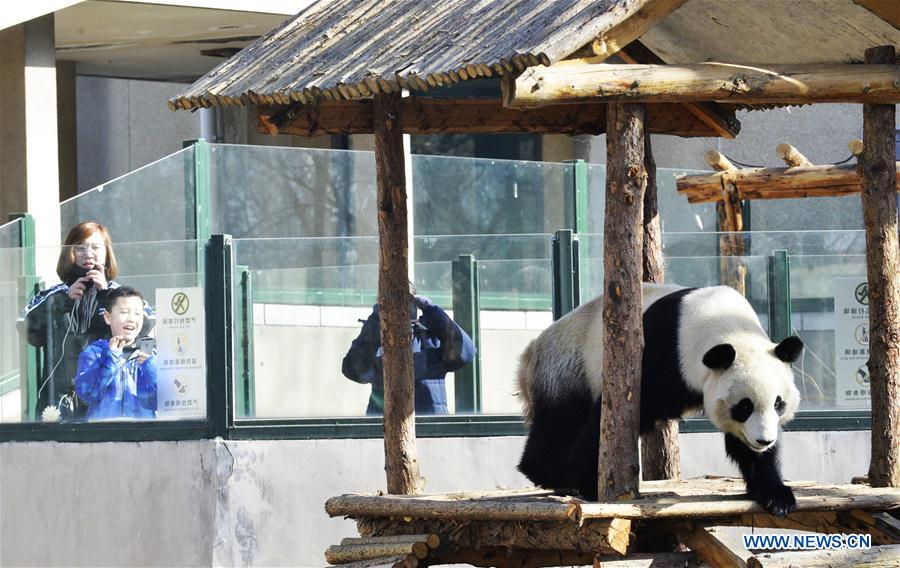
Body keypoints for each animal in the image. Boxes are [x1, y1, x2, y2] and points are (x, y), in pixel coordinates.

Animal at [517, 283, 804, 516]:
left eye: (778, 403)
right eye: (744, 406)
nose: (764, 441)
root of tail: (529, 353)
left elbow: (743, 447)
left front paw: (776, 495)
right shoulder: (660, 355)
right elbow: (611, 418)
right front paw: (591, 483)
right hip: (568, 368)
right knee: (561, 423)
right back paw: (552, 474)